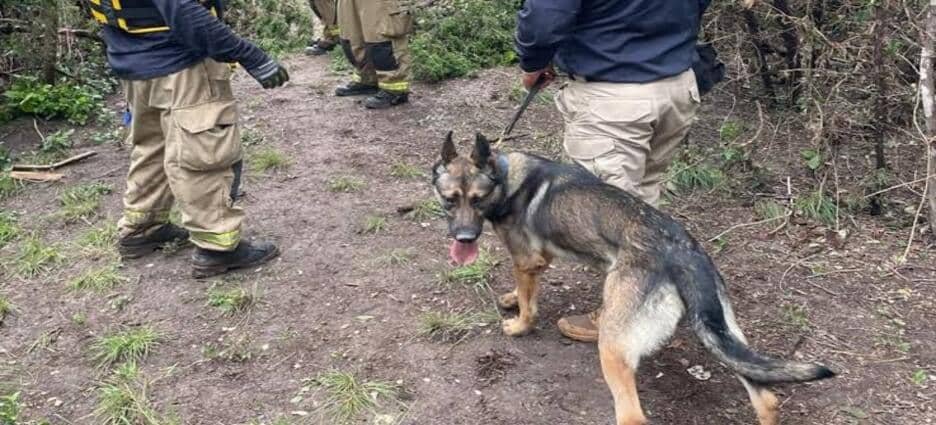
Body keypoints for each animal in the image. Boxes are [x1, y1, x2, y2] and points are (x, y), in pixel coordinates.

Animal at [432, 132, 835, 425]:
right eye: (450, 200)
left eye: (477, 199)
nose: (463, 239)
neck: (504, 176)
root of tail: (680, 250)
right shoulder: (539, 260)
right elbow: (525, 290)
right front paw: (512, 298)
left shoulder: (525, 260)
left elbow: (530, 307)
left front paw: (518, 325)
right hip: (725, 335)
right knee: (765, 396)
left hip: (612, 348)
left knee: (633, 416)